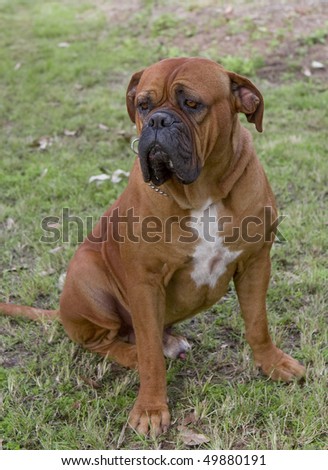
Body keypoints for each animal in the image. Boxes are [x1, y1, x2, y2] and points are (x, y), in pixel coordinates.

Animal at [0, 57, 304, 436]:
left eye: (192, 103)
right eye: (143, 105)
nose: (158, 120)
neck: (201, 194)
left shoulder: (256, 263)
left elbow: (258, 323)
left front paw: (272, 363)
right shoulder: (145, 283)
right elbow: (149, 354)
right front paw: (150, 408)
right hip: (86, 273)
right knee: (106, 341)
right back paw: (132, 354)